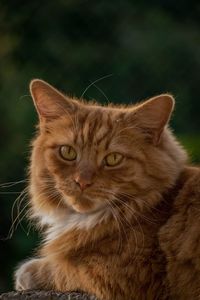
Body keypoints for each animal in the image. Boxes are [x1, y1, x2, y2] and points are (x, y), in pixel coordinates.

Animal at [14, 79, 200, 300]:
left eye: (113, 159)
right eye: (68, 152)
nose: (82, 182)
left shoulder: (114, 276)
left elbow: (58, 269)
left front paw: (25, 273)